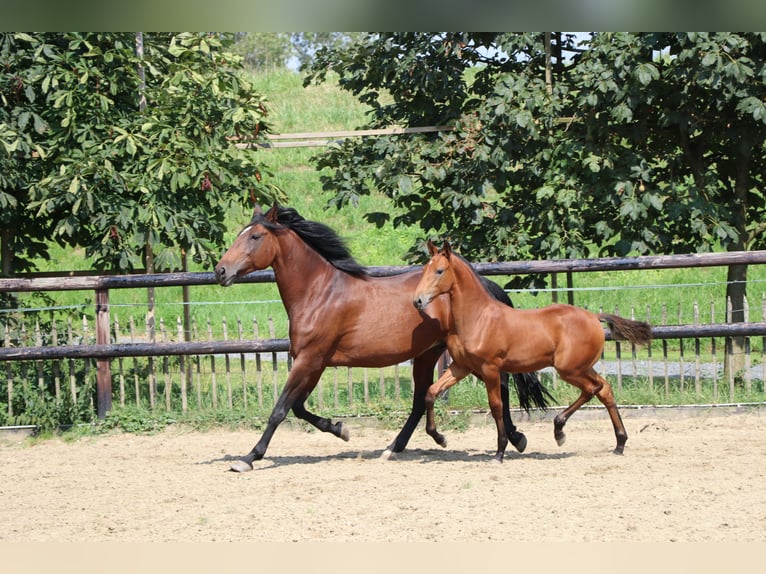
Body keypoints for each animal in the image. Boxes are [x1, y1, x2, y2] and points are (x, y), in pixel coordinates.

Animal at [214, 207, 552, 472]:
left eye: (255, 237)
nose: (220, 271)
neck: (319, 293)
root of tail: (483, 284)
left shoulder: (311, 358)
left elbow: (280, 409)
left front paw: (249, 458)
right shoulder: (314, 362)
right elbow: (297, 407)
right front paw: (340, 429)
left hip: (462, 356)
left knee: (498, 386)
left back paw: (514, 439)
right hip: (429, 354)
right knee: (423, 399)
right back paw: (395, 447)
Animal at [414, 242, 656, 464]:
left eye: (439, 271)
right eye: (425, 269)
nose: (417, 300)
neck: (478, 318)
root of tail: (595, 318)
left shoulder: (490, 368)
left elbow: (496, 407)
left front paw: (499, 453)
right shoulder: (461, 366)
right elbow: (431, 392)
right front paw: (440, 438)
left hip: (569, 369)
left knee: (592, 389)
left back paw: (559, 431)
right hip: (581, 367)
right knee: (604, 389)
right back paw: (619, 443)